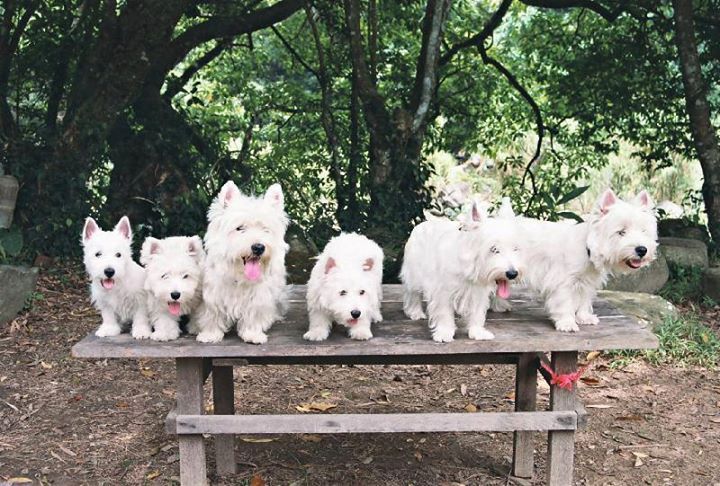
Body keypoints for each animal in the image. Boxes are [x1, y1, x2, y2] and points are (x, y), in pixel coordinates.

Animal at [197, 180, 290, 344]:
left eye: (265, 229)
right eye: (240, 228)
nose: (258, 247)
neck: (239, 276)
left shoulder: (259, 296)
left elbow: (254, 313)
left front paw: (253, 334)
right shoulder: (213, 293)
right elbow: (212, 313)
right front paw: (210, 334)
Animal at [400, 199, 524, 344]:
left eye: (515, 248)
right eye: (493, 249)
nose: (512, 274)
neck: (470, 265)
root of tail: (422, 224)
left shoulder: (478, 291)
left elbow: (477, 312)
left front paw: (477, 332)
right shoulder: (443, 290)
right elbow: (444, 312)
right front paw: (444, 332)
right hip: (414, 272)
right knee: (413, 293)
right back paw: (415, 312)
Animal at [496, 188, 660, 332]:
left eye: (643, 231)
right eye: (621, 232)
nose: (642, 249)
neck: (587, 249)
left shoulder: (587, 281)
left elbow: (584, 300)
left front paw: (584, 317)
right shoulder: (563, 281)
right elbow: (565, 302)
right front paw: (567, 323)